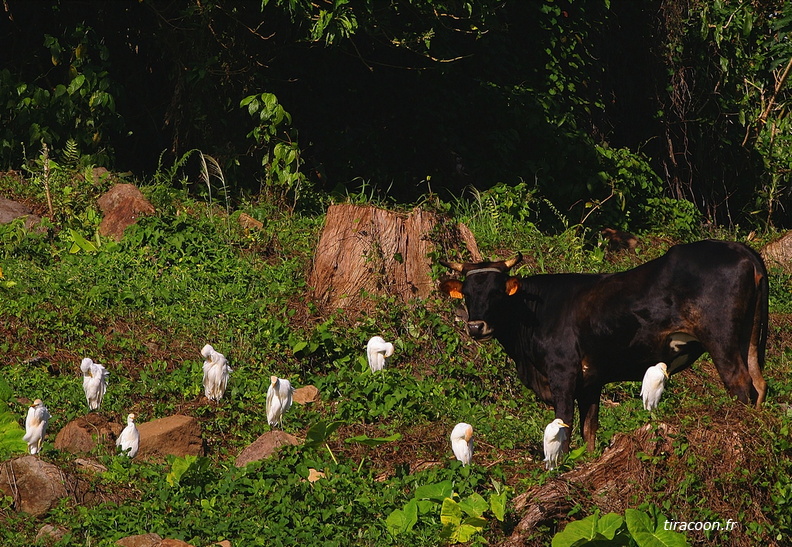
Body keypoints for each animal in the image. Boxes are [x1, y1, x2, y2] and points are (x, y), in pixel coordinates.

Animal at [440, 242, 768, 452]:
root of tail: (739, 248)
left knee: (740, 384)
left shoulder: (562, 373)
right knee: (759, 383)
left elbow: (565, 426)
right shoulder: (591, 381)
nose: (475, 326)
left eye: (496, 292)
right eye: (466, 293)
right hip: (749, 340)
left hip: (721, 339)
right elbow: (590, 429)